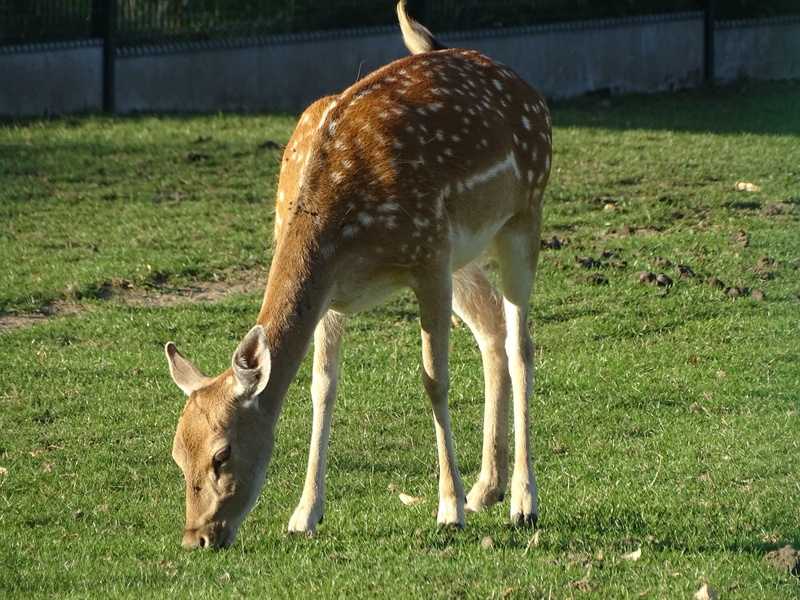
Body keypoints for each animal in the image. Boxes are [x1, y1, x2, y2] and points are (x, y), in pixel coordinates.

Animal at [165, 0, 552, 550]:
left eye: (223, 453)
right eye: (178, 454)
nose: (196, 537)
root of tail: (526, 89)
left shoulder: (427, 257)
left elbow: (434, 380)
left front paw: (448, 509)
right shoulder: (335, 293)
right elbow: (321, 388)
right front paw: (304, 514)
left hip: (522, 214)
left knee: (522, 344)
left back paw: (522, 501)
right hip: (464, 251)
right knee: (492, 324)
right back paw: (486, 490)